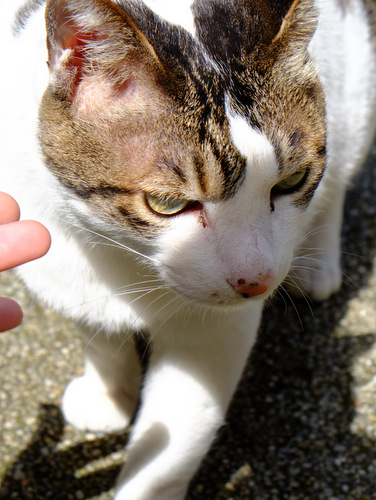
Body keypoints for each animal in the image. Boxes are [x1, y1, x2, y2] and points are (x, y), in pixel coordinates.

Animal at [0, 0, 376, 498]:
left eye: (293, 181)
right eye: (168, 203)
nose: (257, 282)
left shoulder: (211, 331)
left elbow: (169, 446)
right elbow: (96, 332)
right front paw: (107, 394)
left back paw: (318, 265)